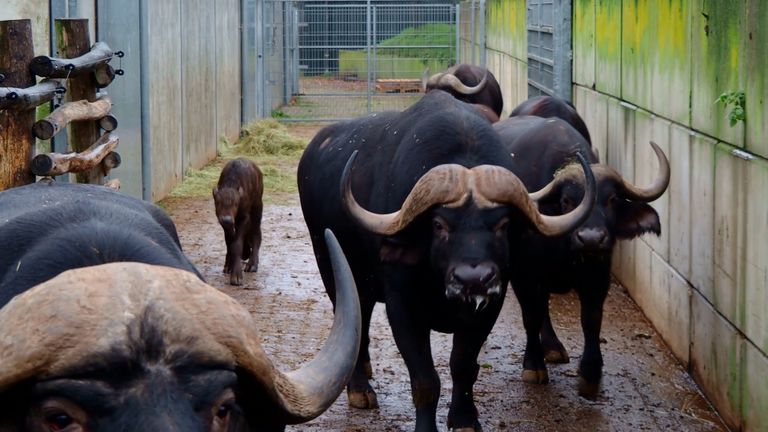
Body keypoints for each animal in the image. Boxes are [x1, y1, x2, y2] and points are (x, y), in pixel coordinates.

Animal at [213, 157, 264, 286]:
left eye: (236, 204)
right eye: (218, 203)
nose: (227, 219)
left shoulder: (244, 218)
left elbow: (236, 244)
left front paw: (236, 275)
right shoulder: (225, 224)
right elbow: (229, 242)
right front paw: (229, 265)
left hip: (257, 208)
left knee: (256, 233)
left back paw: (252, 264)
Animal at [296, 89, 596, 430]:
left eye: (503, 224)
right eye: (439, 225)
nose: (473, 279)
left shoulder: (488, 307)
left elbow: (463, 365)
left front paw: (464, 417)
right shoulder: (403, 307)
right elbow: (425, 379)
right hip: (334, 268)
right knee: (351, 321)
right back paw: (360, 388)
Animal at [496, 114, 668, 398]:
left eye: (612, 199)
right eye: (567, 201)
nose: (591, 238)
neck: (565, 250)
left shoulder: (598, 276)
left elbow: (591, 320)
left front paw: (590, 373)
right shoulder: (524, 276)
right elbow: (530, 316)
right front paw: (533, 365)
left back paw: (553, 347)